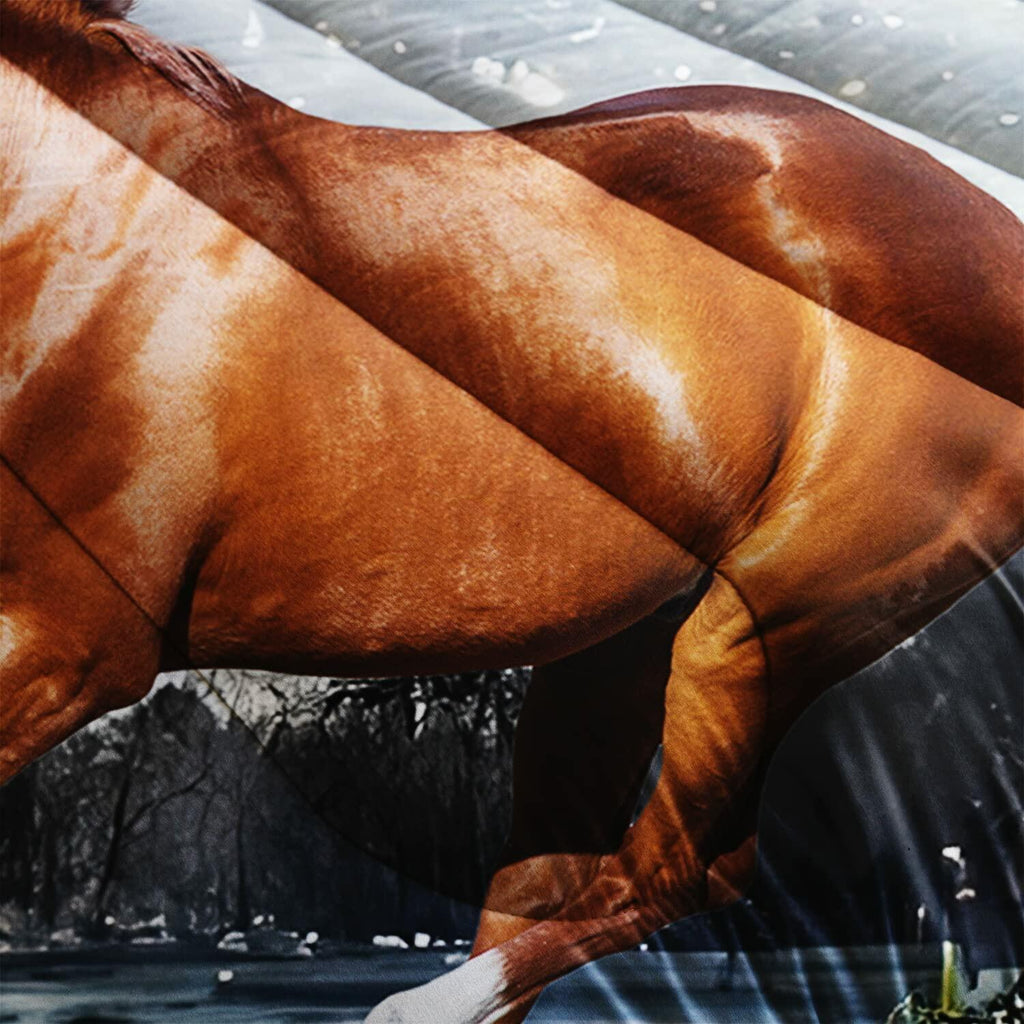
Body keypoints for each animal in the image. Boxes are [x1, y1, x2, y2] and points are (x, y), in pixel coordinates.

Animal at [3, 3, 1022, 1021]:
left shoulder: (73, 650)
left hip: (760, 627)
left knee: (682, 873)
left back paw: (419, 1007)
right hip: (614, 651)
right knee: (546, 881)